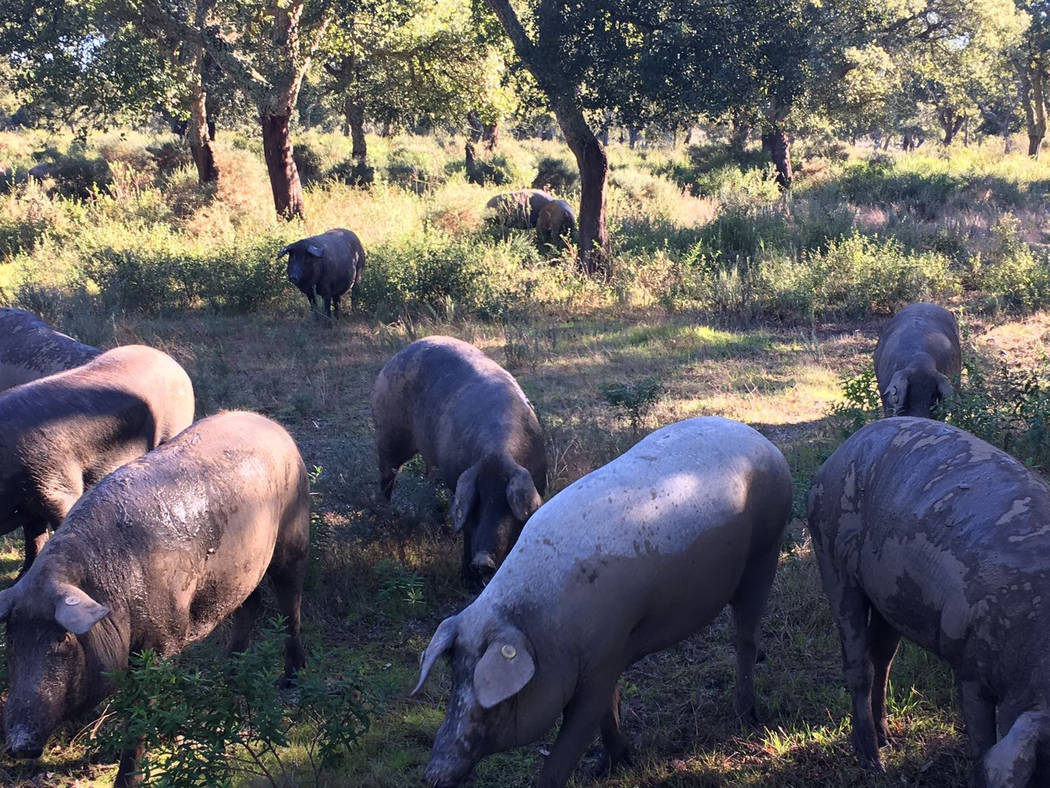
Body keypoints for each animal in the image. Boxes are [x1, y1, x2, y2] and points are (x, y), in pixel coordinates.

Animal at [0, 409, 308, 785]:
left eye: (63, 639)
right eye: (11, 638)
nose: (18, 744)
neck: (114, 592)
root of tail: (272, 425)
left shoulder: (163, 642)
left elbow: (141, 712)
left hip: (294, 536)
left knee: (290, 603)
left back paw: (289, 680)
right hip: (239, 572)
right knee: (249, 606)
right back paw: (228, 676)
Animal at [371, 336, 550, 588]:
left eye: (505, 501)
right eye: (479, 499)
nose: (483, 561)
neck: (496, 454)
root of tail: (398, 354)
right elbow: (466, 530)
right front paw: (468, 581)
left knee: (428, 476)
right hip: (388, 432)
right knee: (387, 473)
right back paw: (384, 515)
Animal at [409, 416, 789, 785]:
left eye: (497, 704)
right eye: (454, 681)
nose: (432, 775)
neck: (540, 633)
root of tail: (762, 442)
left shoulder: (604, 660)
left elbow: (572, 741)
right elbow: (608, 712)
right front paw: (611, 766)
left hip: (765, 552)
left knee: (745, 637)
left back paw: (745, 716)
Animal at [806, 416, 1050, 785]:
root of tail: (839, 453)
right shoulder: (970, 666)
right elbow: (982, 744)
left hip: (889, 597)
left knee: (882, 656)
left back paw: (887, 740)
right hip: (832, 553)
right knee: (857, 663)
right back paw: (873, 763)